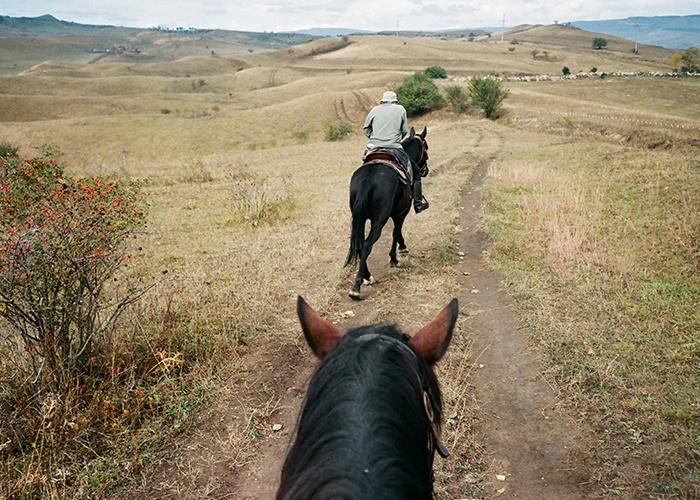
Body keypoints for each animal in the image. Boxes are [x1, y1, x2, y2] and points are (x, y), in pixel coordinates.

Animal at [344, 127, 426, 298]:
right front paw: (396, 256)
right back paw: (357, 286)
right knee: (367, 244)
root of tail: (368, 179)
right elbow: (396, 232)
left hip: (359, 219)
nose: (426, 170)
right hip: (379, 221)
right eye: (426, 148)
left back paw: (367, 276)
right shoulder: (401, 212)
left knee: (360, 245)